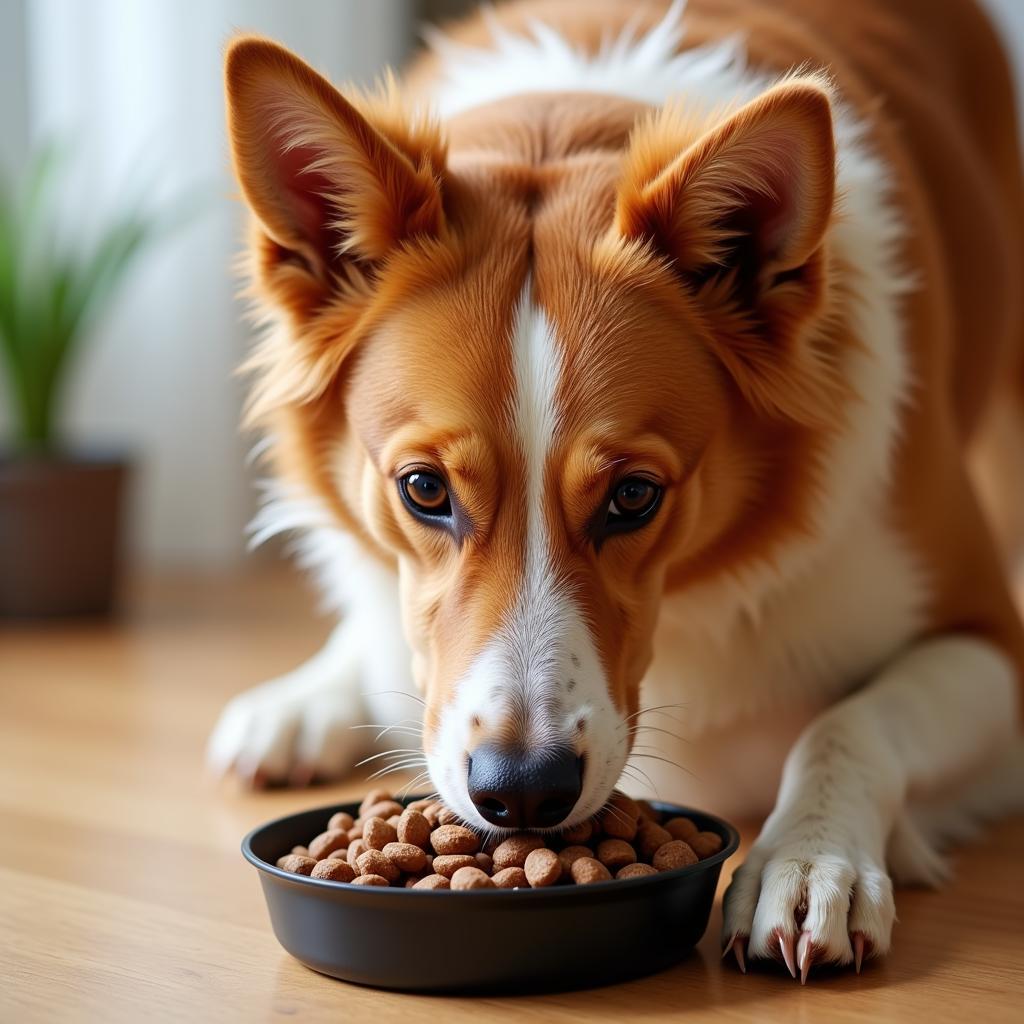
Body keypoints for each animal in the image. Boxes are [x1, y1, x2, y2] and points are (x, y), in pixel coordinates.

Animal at [209, 0, 1024, 974]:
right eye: (423, 490)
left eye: (634, 496)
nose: (523, 794)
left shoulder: (992, 639)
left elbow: (849, 725)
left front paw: (810, 859)